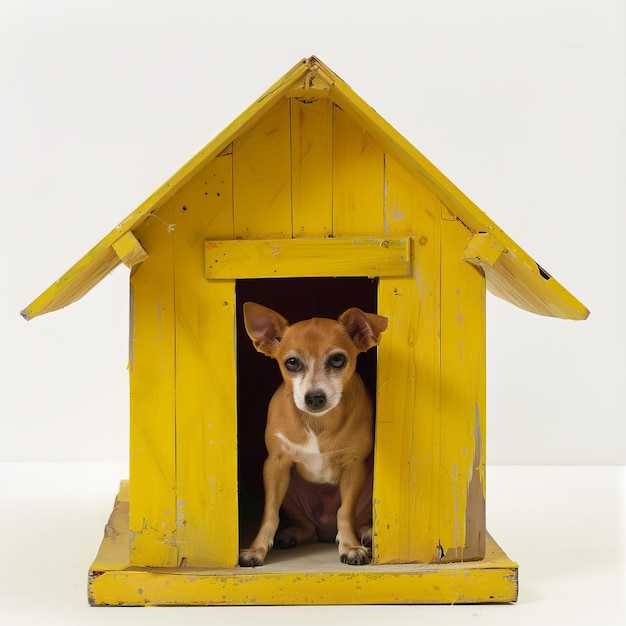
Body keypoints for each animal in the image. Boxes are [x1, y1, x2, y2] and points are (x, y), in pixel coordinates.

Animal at [238, 302, 386, 564]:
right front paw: (256, 549)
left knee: (357, 521)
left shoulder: (354, 466)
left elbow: (344, 511)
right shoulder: (276, 465)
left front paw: (350, 546)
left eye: (337, 360)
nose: (315, 397)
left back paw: (367, 534)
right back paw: (291, 535)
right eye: (292, 362)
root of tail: (324, 531)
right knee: (306, 529)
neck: (318, 422)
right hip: (289, 490)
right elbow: (270, 514)